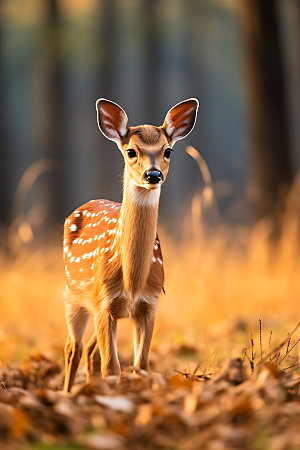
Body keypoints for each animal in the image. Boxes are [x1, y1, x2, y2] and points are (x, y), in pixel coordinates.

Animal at [62, 97, 199, 390]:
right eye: (131, 151)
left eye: (168, 151)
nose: (153, 174)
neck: (132, 283)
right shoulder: (103, 303)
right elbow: (111, 367)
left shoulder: (150, 304)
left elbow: (141, 365)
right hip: (73, 294)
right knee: (73, 347)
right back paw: (68, 393)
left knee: (89, 350)